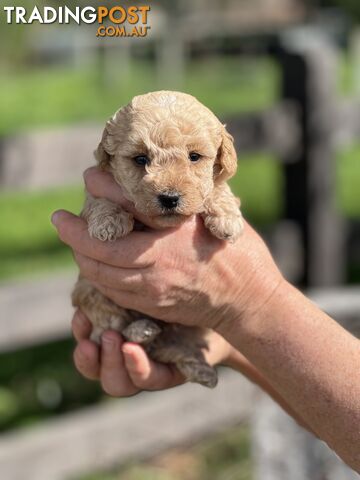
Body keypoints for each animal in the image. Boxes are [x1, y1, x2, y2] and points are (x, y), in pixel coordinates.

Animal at [71, 90, 243, 388]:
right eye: (141, 159)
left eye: (194, 157)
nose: (170, 198)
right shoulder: (95, 189)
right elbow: (98, 202)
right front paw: (109, 221)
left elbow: (218, 187)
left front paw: (227, 218)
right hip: (92, 294)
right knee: (112, 333)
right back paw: (142, 330)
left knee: (170, 349)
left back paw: (202, 370)